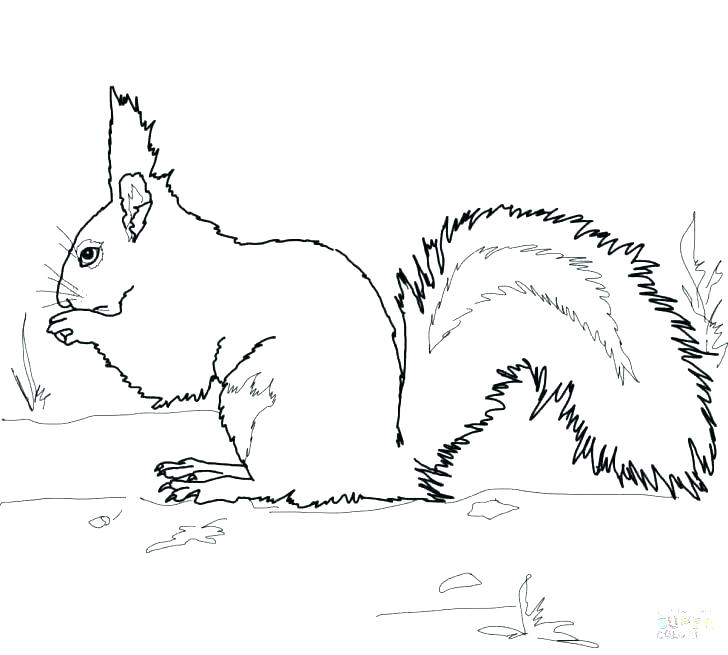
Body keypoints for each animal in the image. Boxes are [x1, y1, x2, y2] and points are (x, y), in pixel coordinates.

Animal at [48, 89, 717, 507]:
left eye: (89, 255)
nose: (58, 292)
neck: (171, 264)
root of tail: (382, 464)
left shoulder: (183, 321)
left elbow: (159, 369)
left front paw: (72, 323)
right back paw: (205, 468)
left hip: (259, 401)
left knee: (282, 486)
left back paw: (214, 484)